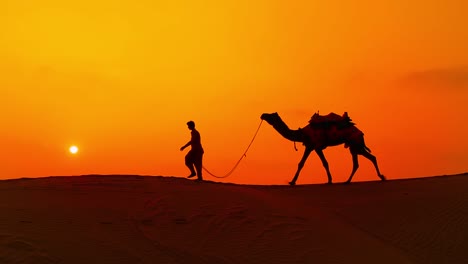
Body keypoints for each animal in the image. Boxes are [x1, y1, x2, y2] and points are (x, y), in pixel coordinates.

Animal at [258, 112, 386, 185]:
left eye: (271, 115)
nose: (262, 114)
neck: (302, 133)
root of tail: (361, 133)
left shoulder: (317, 146)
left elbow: (325, 163)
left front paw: (329, 181)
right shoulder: (309, 146)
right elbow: (301, 163)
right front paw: (292, 181)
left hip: (356, 144)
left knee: (368, 158)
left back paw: (379, 177)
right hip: (354, 146)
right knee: (363, 161)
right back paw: (348, 181)